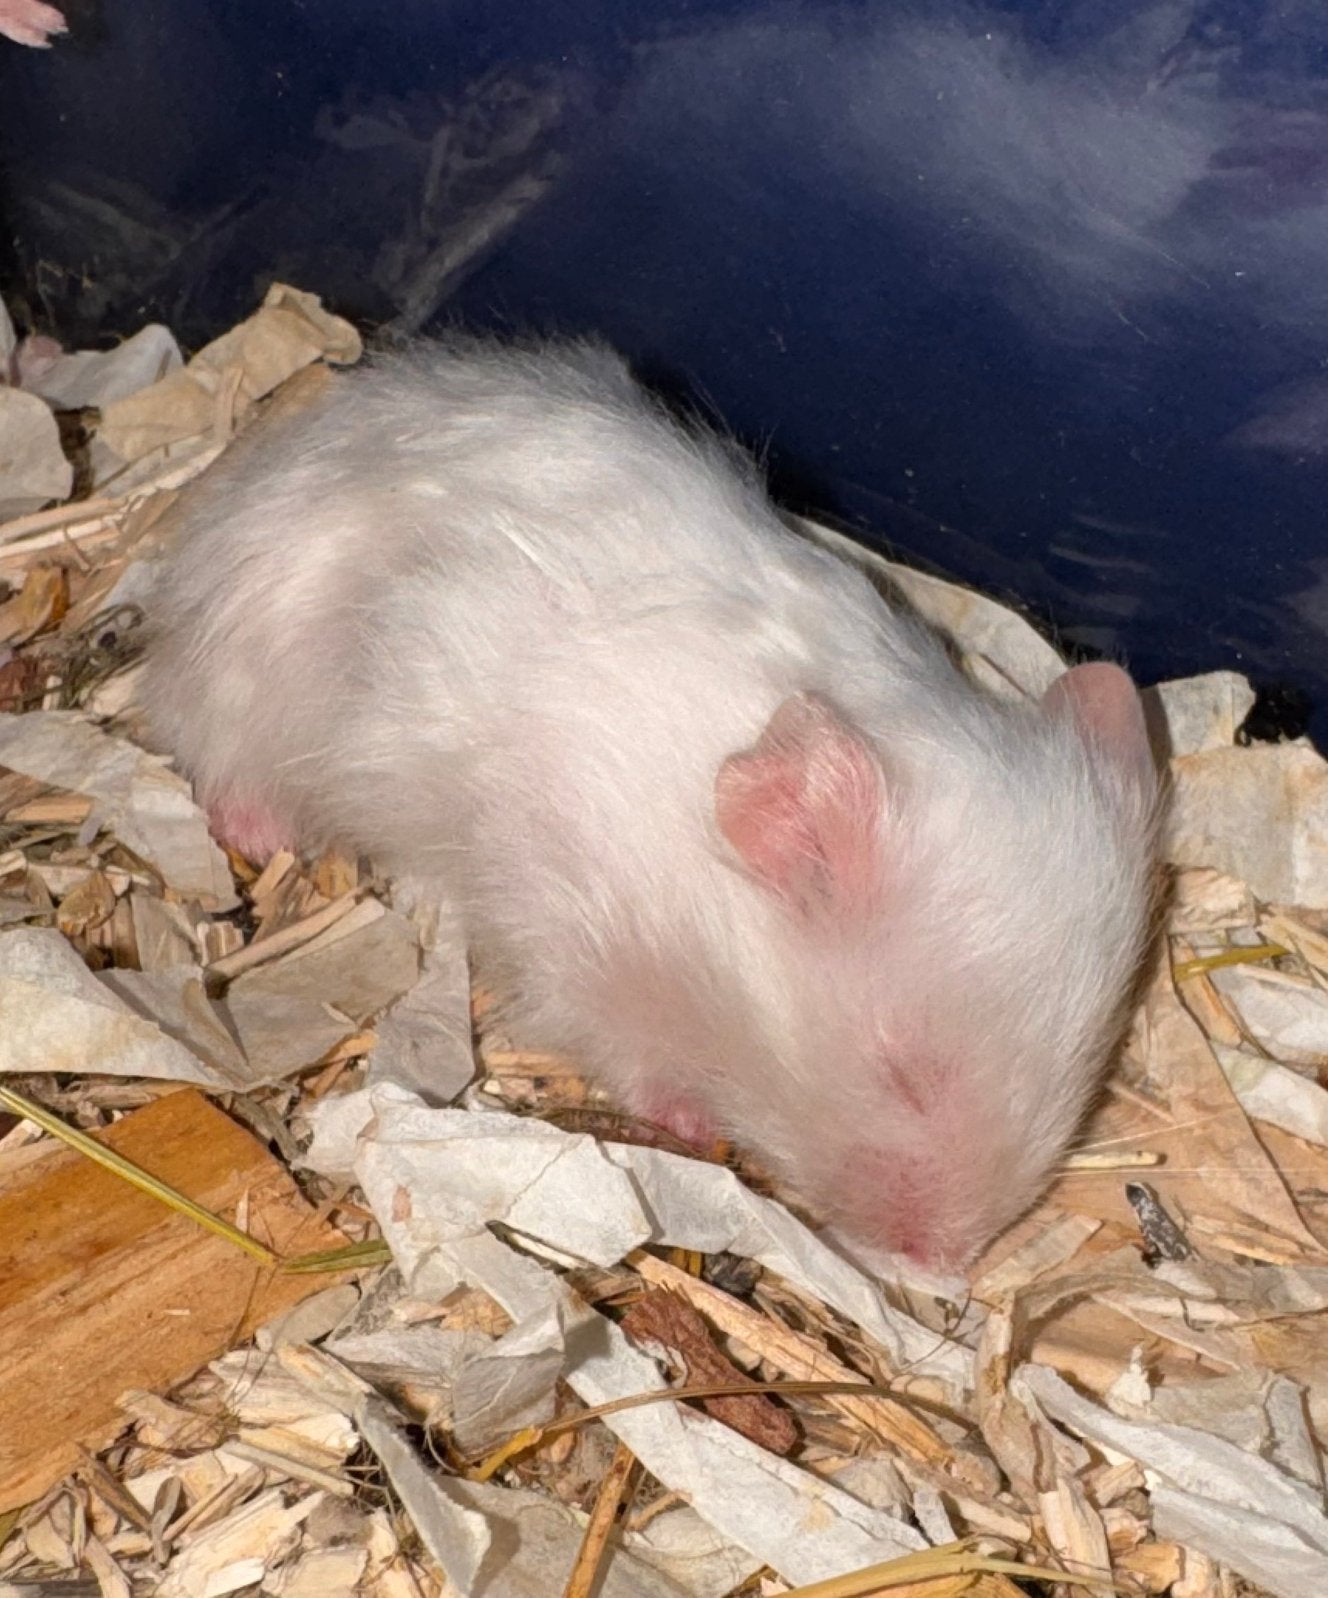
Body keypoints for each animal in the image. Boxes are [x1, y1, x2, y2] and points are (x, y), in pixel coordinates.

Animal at [140, 334, 1161, 1272]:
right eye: (903, 1075)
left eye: (1084, 1070)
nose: (942, 1267)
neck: (710, 925)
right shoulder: (567, 921)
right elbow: (619, 1041)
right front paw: (690, 1122)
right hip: (256, 670)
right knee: (220, 754)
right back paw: (257, 823)